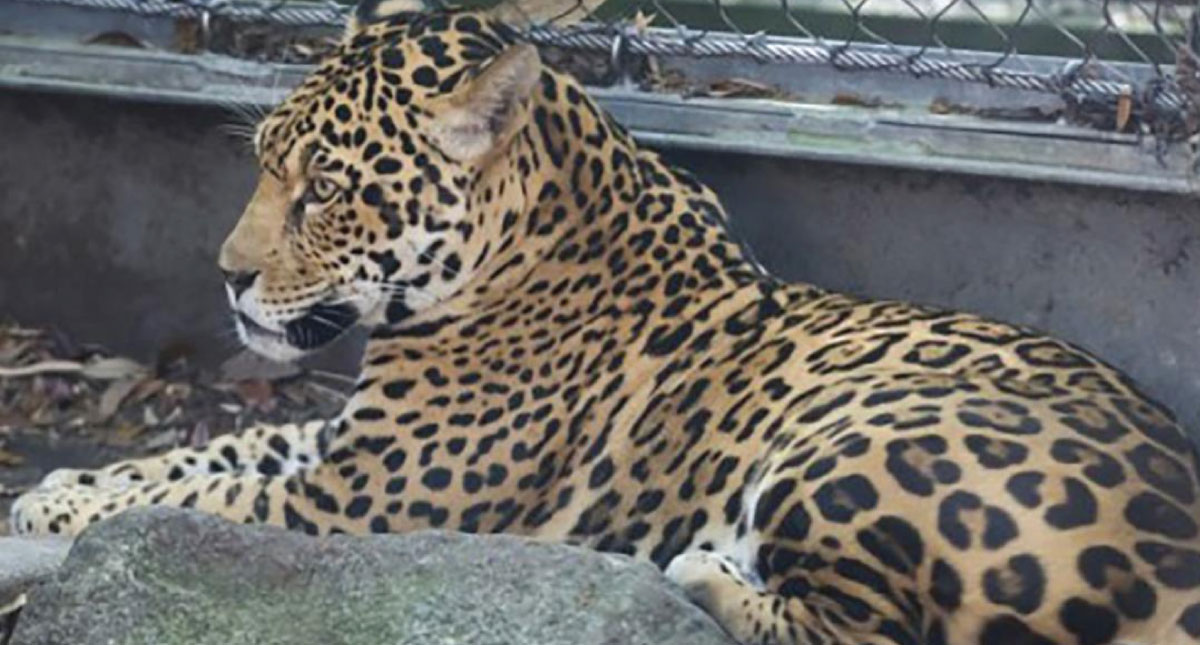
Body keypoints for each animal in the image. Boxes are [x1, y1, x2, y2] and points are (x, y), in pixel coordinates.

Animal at [12, 2, 1200, 643]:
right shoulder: (345, 445)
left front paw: (70, 509)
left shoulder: (358, 503)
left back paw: (703, 571)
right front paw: (65, 487)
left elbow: (205, 491)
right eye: (265, 164)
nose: (227, 279)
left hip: (860, 444)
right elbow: (212, 452)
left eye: (328, 191)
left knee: (867, 630)